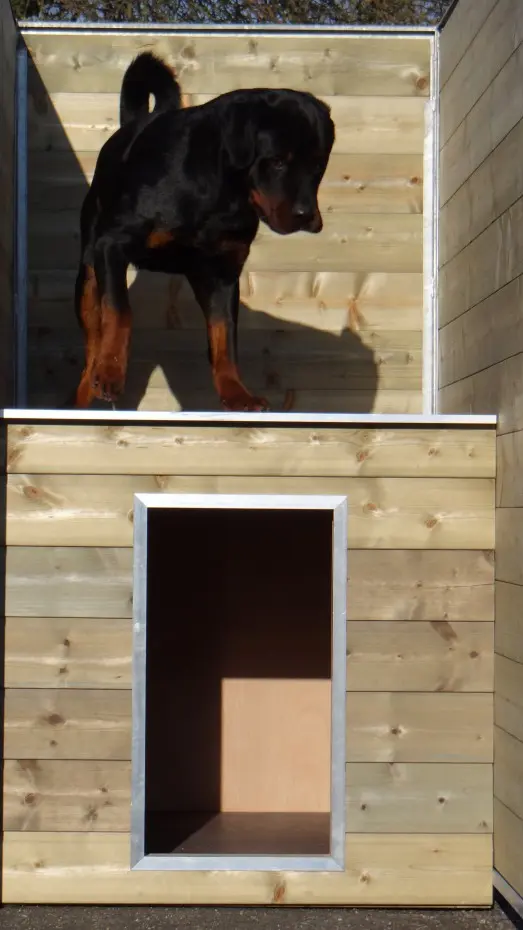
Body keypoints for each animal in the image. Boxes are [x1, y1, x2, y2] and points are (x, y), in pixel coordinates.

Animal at [72, 52, 335, 411]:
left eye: (318, 167)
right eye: (278, 161)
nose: (306, 215)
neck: (223, 195)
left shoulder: (221, 274)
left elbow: (224, 338)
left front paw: (236, 393)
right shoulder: (112, 245)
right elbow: (119, 311)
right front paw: (111, 371)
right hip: (88, 266)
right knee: (92, 333)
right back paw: (89, 385)